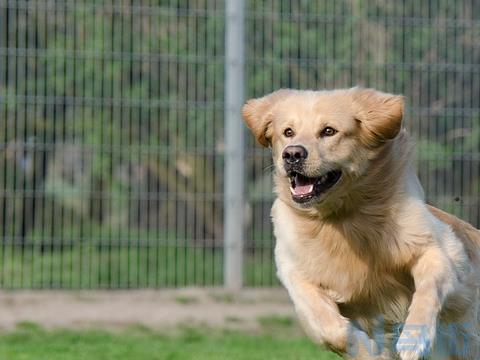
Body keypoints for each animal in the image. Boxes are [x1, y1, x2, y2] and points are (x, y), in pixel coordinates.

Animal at [242, 88, 480, 360]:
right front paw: (369, 350)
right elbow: (328, 328)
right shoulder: (295, 272)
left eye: (328, 131)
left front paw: (414, 340)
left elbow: (428, 289)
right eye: (288, 132)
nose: (292, 154)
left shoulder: (441, 250)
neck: (342, 217)